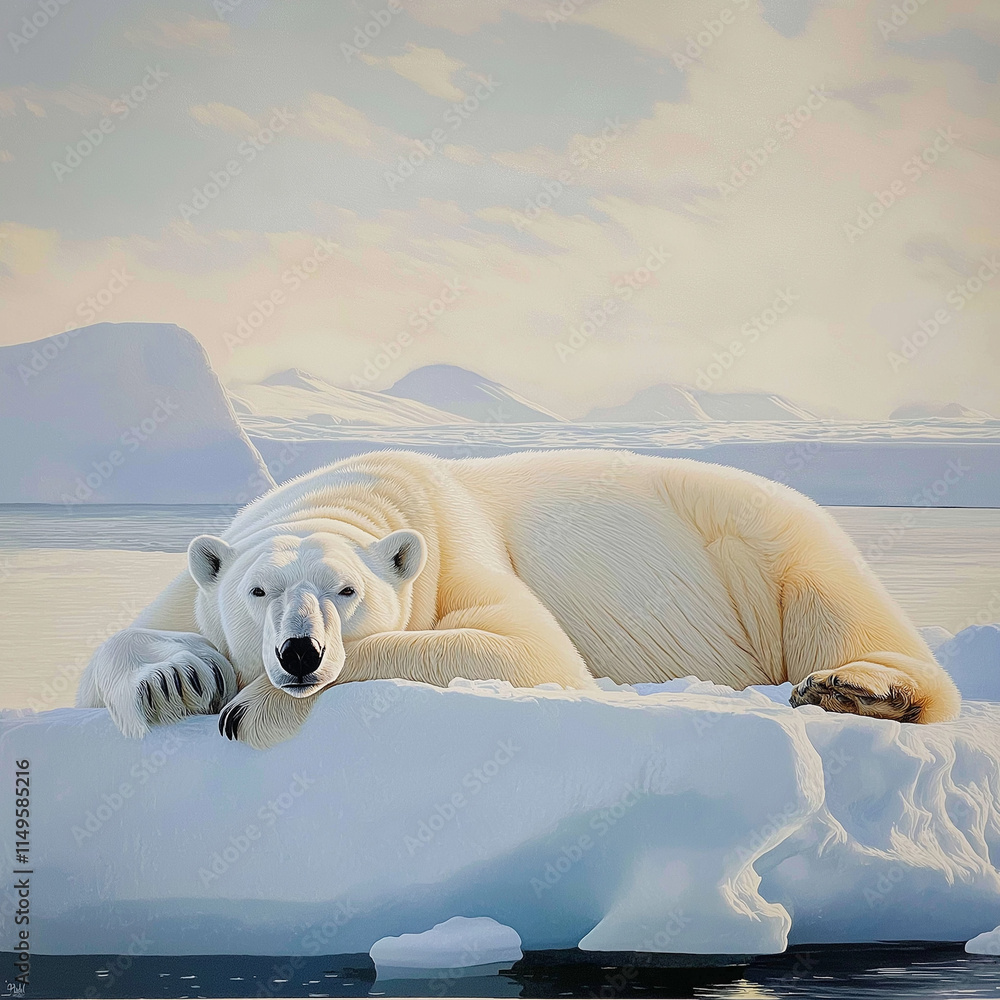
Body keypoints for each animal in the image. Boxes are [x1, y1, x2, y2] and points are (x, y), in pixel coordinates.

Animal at [77, 449, 961, 748]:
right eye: (258, 589)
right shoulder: (200, 580)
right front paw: (177, 679)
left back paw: (856, 686)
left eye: (346, 589)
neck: (357, 494)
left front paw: (248, 707)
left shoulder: (457, 545)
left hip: (766, 540)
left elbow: (525, 649)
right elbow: (113, 650)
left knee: (838, 604)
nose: (299, 651)